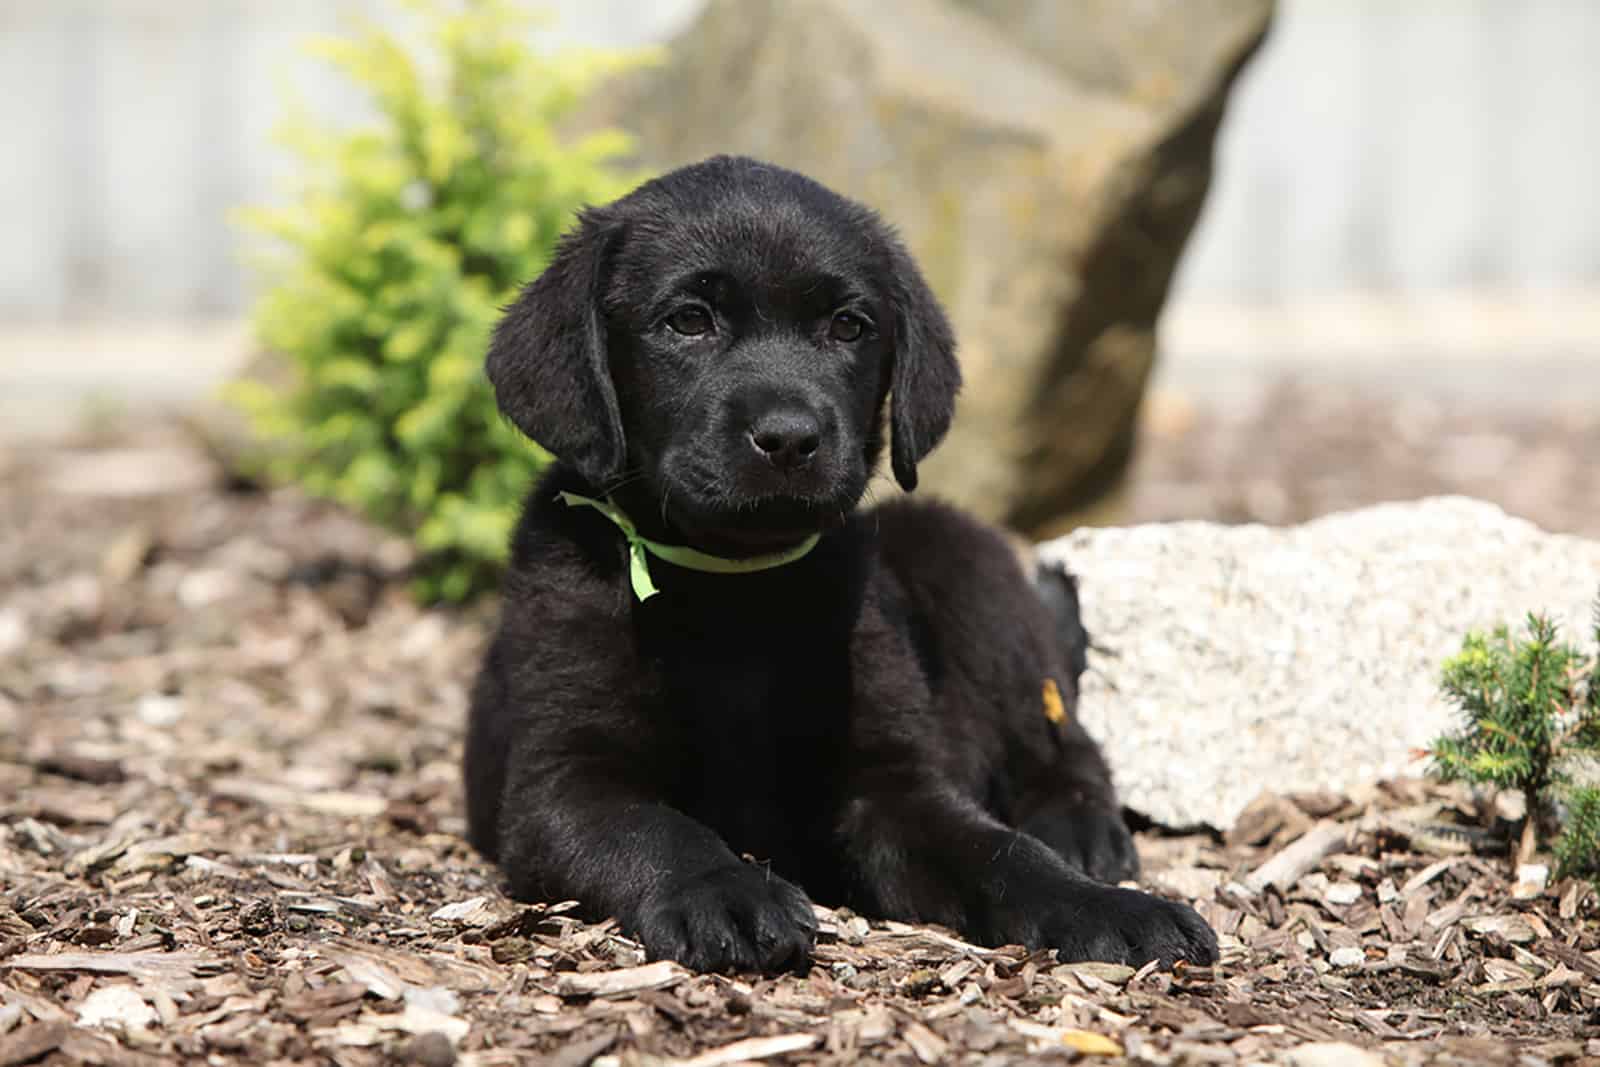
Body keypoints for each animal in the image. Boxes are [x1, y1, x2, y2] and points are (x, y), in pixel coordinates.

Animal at [464, 156, 1209, 979]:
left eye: (848, 326)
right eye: (688, 320)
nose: (789, 437)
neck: (734, 590)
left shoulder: (891, 782)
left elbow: (1003, 852)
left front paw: (1107, 907)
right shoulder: (560, 783)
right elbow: (656, 830)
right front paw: (727, 890)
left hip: (963, 555)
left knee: (1061, 730)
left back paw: (1081, 829)